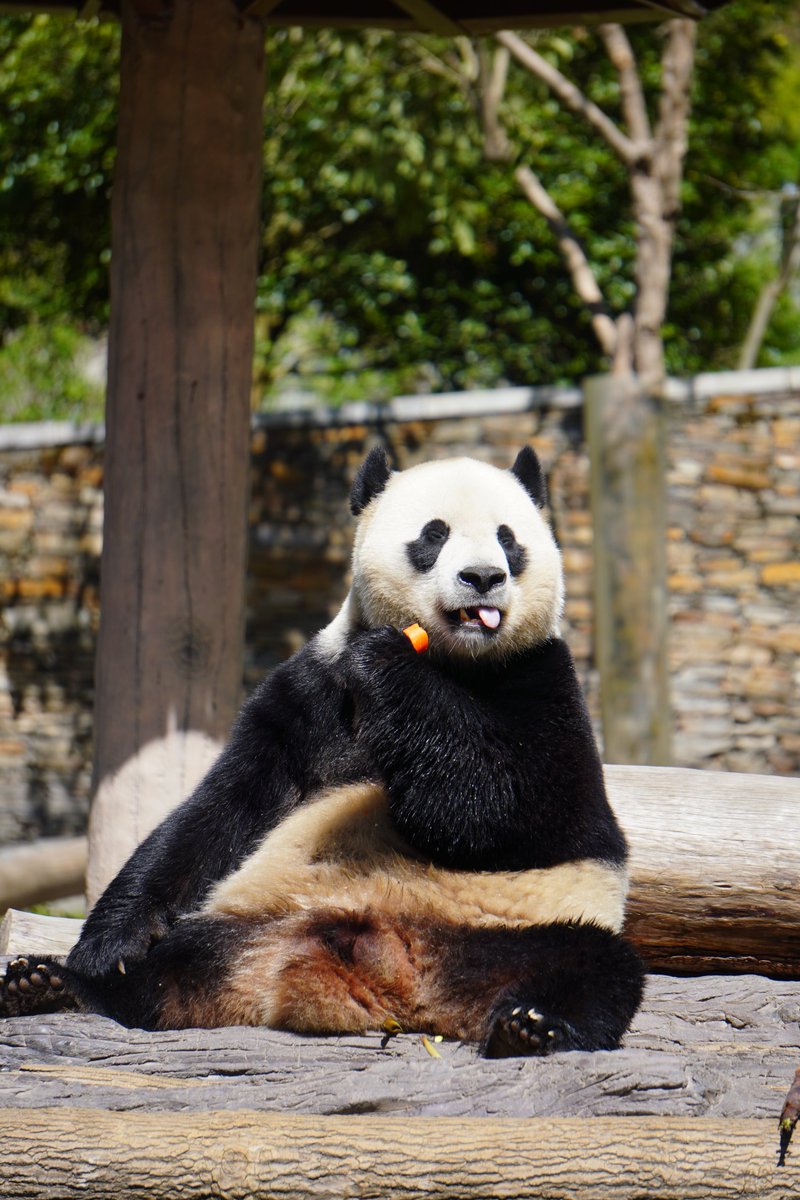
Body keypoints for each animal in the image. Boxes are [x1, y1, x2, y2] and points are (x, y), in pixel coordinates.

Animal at [0, 446, 643, 1056]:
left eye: (510, 539)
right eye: (433, 535)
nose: (484, 576)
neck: (456, 662)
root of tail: (391, 979)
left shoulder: (545, 681)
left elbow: (511, 806)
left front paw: (389, 664)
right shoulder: (310, 694)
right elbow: (219, 813)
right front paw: (105, 942)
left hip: (522, 929)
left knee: (595, 966)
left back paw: (533, 1027)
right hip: (246, 923)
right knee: (165, 974)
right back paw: (56, 987)